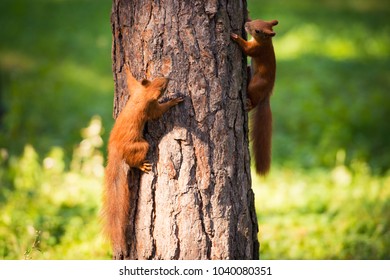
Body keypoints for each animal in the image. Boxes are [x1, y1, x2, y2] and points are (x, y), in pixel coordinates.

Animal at [103, 64, 184, 258]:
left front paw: (126, 68)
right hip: (140, 145)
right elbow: (158, 112)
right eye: (162, 87)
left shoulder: (136, 89)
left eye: (159, 78)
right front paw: (174, 101)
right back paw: (142, 165)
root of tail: (114, 151)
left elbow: (131, 80)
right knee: (133, 160)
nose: (169, 78)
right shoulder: (150, 108)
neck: (142, 95)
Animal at [232, 18, 278, 175]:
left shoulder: (256, 50)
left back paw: (248, 103)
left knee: (254, 101)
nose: (246, 24)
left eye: (258, 31)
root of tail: (267, 94)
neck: (265, 42)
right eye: (257, 20)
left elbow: (246, 49)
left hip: (255, 86)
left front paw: (236, 37)